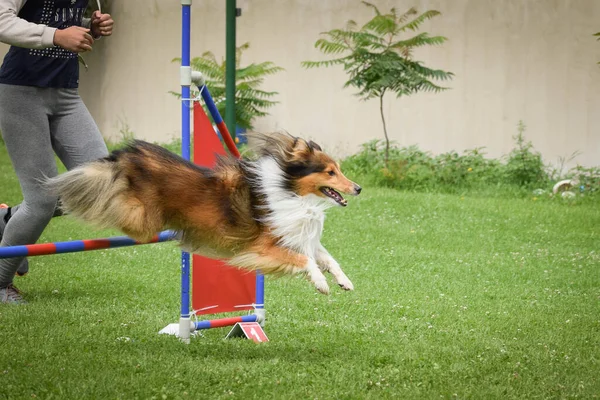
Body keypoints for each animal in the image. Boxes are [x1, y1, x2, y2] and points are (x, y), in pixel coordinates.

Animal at [47, 132, 360, 294]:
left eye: (339, 169)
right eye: (330, 172)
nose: (358, 188)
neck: (289, 189)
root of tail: (126, 154)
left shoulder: (296, 235)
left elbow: (327, 258)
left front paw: (344, 281)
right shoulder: (262, 247)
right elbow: (304, 260)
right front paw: (321, 283)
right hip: (141, 218)